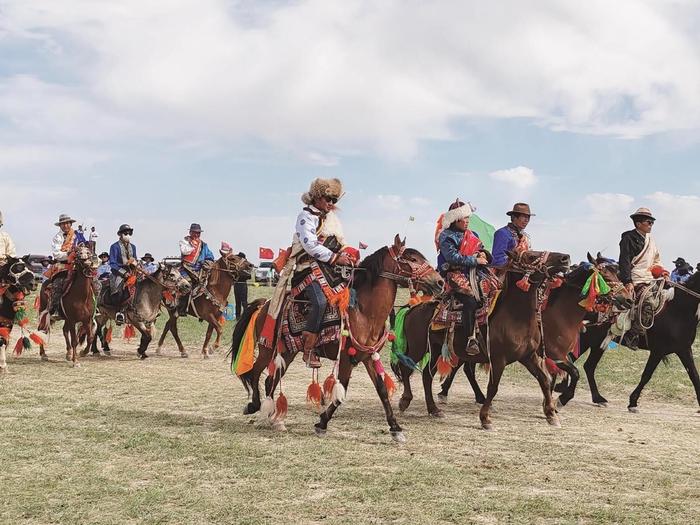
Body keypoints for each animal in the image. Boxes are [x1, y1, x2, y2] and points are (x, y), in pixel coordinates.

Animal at [232, 235, 446, 440]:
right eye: (412, 259)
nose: (440, 282)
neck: (364, 313)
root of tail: (265, 303)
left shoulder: (367, 356)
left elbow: (382, 391)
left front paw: (395, 428)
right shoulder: (345, 358)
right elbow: (341, 392)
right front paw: (321, 424)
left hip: (288, 352)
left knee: (270, 380)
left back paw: (274, 419)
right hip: (268, 348)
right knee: (255, 373)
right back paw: (254, 407)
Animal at [392, 251, 572, 430]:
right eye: (530, 256)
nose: (565, 258)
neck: (515, 317)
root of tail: (412, 308)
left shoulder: (528, 356)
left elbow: (544, 381)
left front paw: (551, 415)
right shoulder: (498, 360)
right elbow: (493, 388)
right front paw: (485, 418)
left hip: (436, 349)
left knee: (427, 376)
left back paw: (434, 410)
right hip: (418, 348)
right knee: (406, 368)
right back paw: (405, 400)